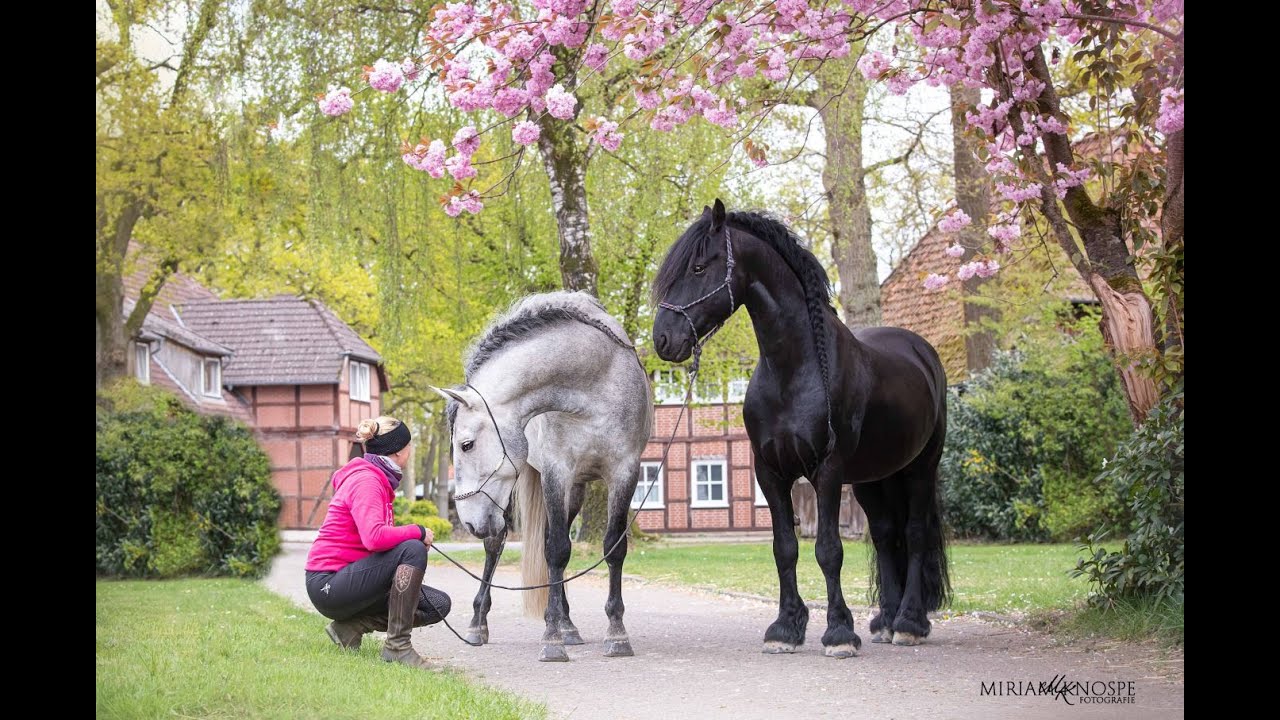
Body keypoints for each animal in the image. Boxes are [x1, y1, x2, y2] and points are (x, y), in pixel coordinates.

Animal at [432, 291, 653, 662]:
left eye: (466, 445)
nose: (469, 522)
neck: (596, 383)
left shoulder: (624, 471)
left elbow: (612, 548)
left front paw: (616, 632)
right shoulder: (555, 472)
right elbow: (556, 550)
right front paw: (551, 640)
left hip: (575, 490)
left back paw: (568, 624)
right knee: (497, 545)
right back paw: (479, 624)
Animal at [651, 199, 949, 657]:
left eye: (699, 267)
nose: (663, 339)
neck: (793, 370)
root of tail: (922, 353)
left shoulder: (826, 470)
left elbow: (828, 550)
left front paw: (839, 632)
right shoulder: (769, 471)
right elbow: (784, 548)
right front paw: (785, 628)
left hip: (920, 468)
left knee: (915, 535)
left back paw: (910, 622)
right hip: (873, 477)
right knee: (885, 536)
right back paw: (885, 619)